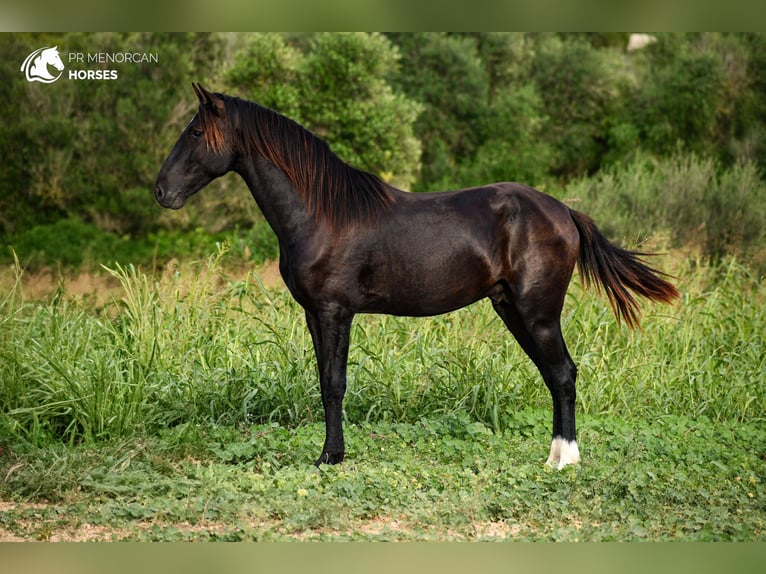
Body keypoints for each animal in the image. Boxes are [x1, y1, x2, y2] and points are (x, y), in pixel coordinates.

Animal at [153, 86, 680, 472]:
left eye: (195, 131)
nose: (161, 191)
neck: (322, 212)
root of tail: (564, 212)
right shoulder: (313, 314)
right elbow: (323, 381)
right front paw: (331, 454)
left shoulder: (335, 311)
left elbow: (334, 384)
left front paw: (329, 458)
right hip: (512, 309)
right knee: (554, 374)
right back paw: (555, 455)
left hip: (539, 312)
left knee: (565, 373)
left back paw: (564, 459)